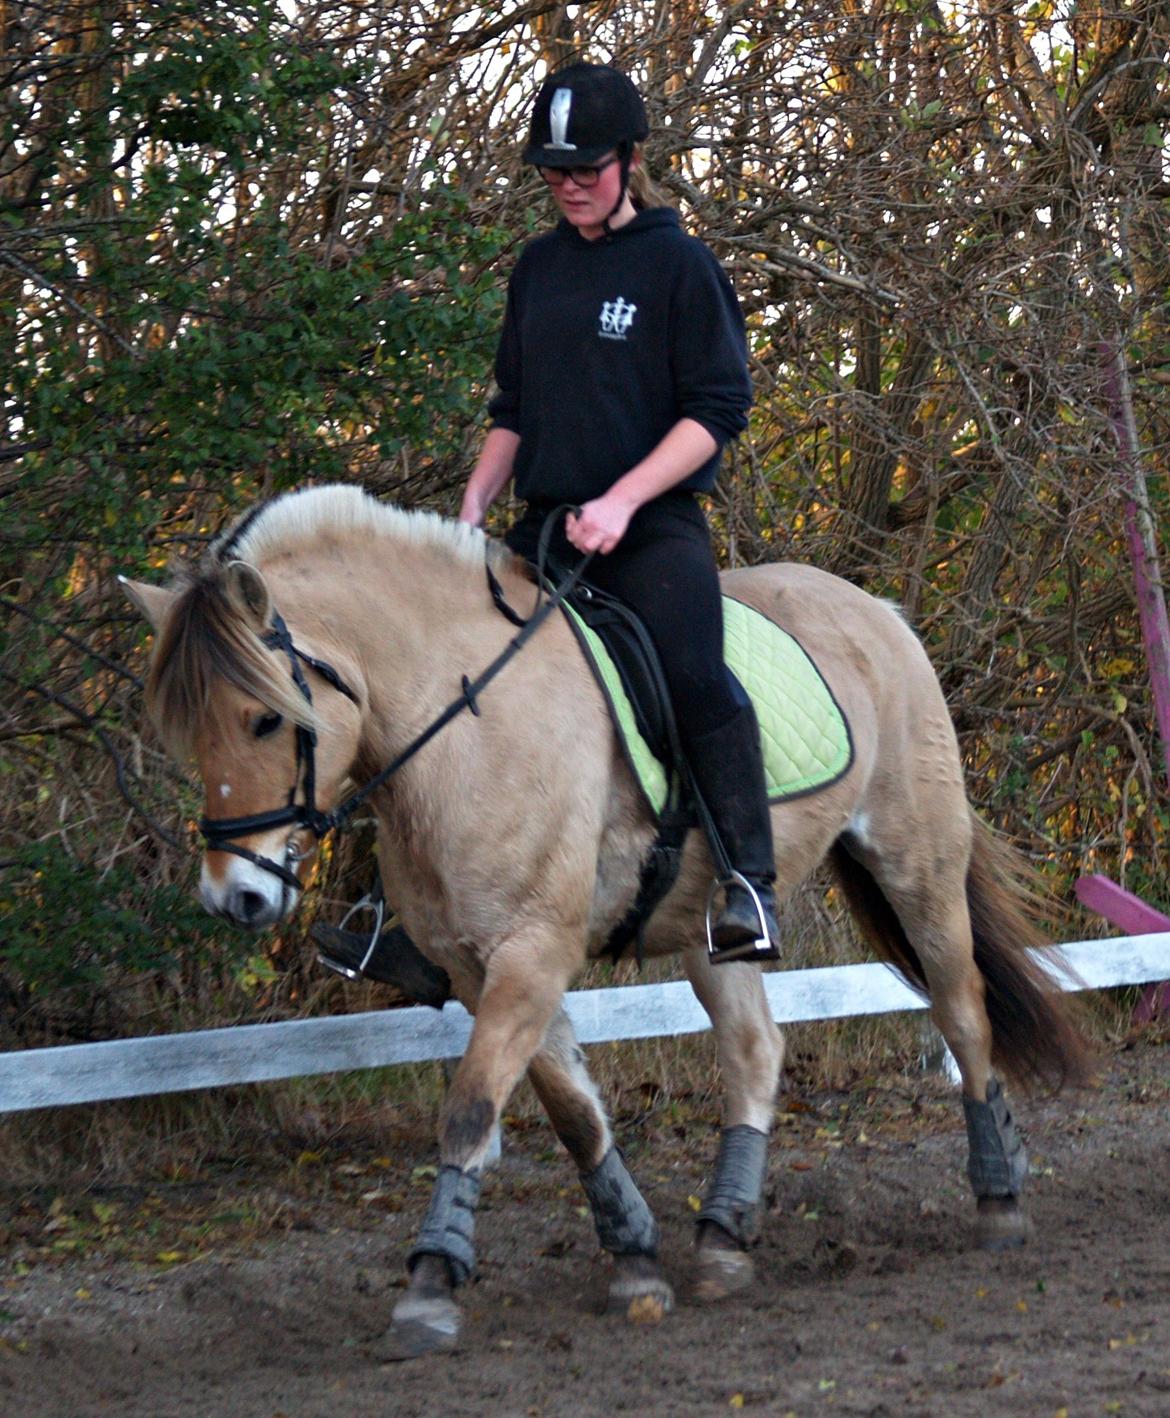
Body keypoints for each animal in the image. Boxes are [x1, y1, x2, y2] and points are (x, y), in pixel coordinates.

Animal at [118, 484, 1089, 1361]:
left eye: (265, 719)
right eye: (187, 731)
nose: (235, 898)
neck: (463, 728)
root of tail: (875, 608)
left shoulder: (532, 954)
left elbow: (470, 1110)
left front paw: (429, 1287)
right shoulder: (480, 967)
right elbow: (574, 1114)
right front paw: (634, 1262)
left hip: (917, 861)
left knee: (961, 1008)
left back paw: (999, 1198)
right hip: (712, 925)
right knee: (755, 1049)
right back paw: (723, 1238)